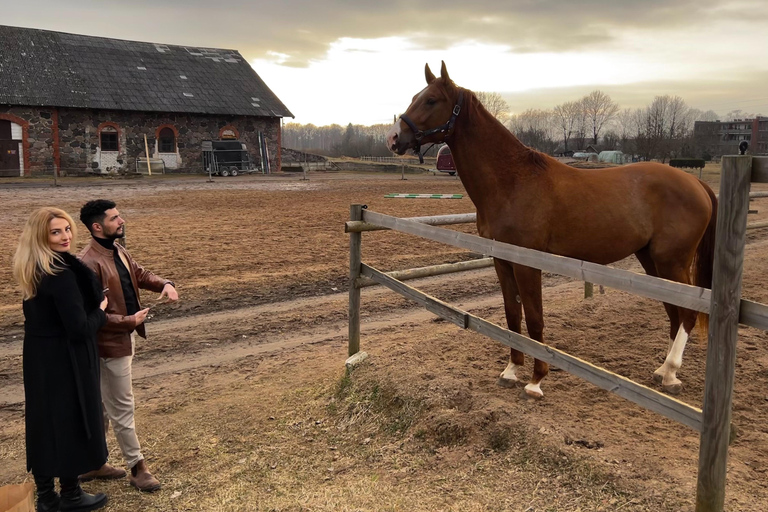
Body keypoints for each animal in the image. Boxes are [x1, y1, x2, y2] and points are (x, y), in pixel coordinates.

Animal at [388, 62, 716, 400]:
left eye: (431, 100)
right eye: (415, 97)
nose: (393, 138)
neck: (512, 181)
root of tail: (696, 183)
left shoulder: (527, 263)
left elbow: (534, 320)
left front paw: (536, 380)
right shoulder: (501, 260)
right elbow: (512, 315)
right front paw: (511, 371)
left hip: (672, 261)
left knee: (687, 314)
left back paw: (672, 373)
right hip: (652, 260)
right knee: (674, 313)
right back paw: (664, 371)